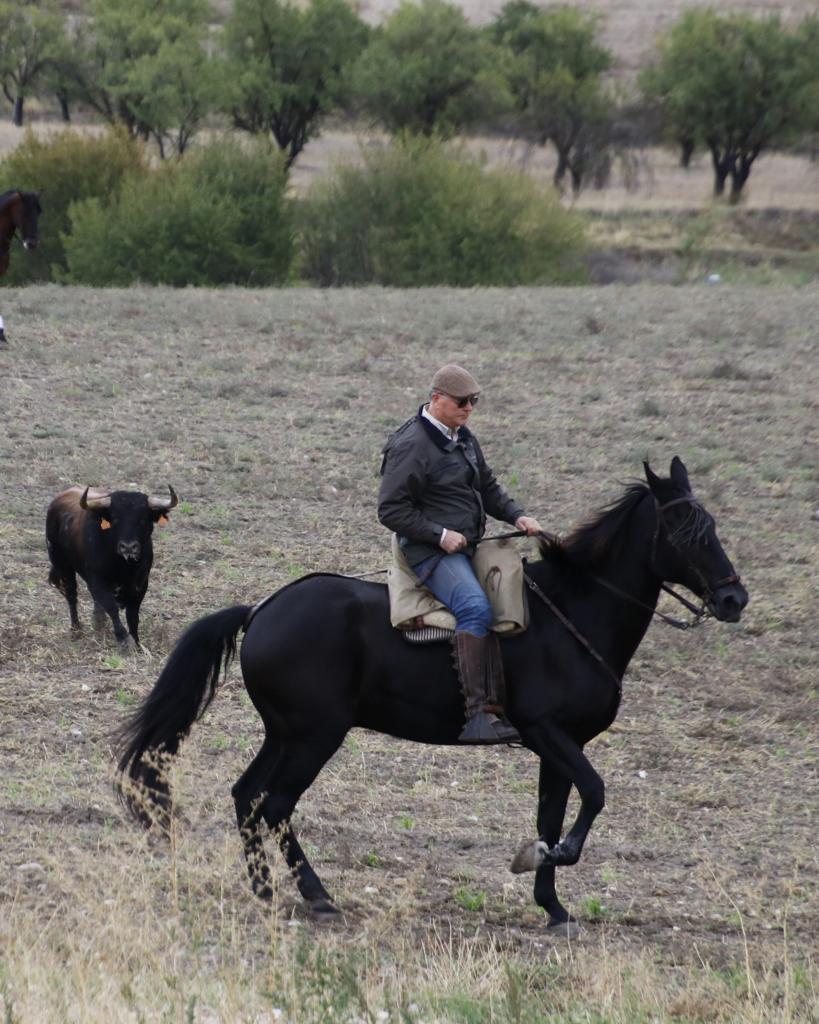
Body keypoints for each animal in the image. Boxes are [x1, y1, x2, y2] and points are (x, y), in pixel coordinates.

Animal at [46, 483, 177, 643]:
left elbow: (132, 616)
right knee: (71, 596)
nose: (128, 546)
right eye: (115, 519)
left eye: (143, 519)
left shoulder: (141, 584)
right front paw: (123, 639)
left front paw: (136, 642)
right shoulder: (99, 581)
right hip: (63, 565)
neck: (124, 567)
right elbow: (111, 608)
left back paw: (99, 623)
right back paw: (76, 630)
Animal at [116, 460, 749, 933]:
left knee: (247, 796)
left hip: (286, 734)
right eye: (686, 532)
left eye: (715, 526)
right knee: (274, 805)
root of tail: (262, 610)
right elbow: (592, 796)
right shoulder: (548, 733)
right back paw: (317, 898)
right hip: (315, 737)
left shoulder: (558, 747)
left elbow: (550, 814)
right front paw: (546, 860)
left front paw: (553, 906)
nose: (734, 598)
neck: (573, 612)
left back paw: (265, 891)